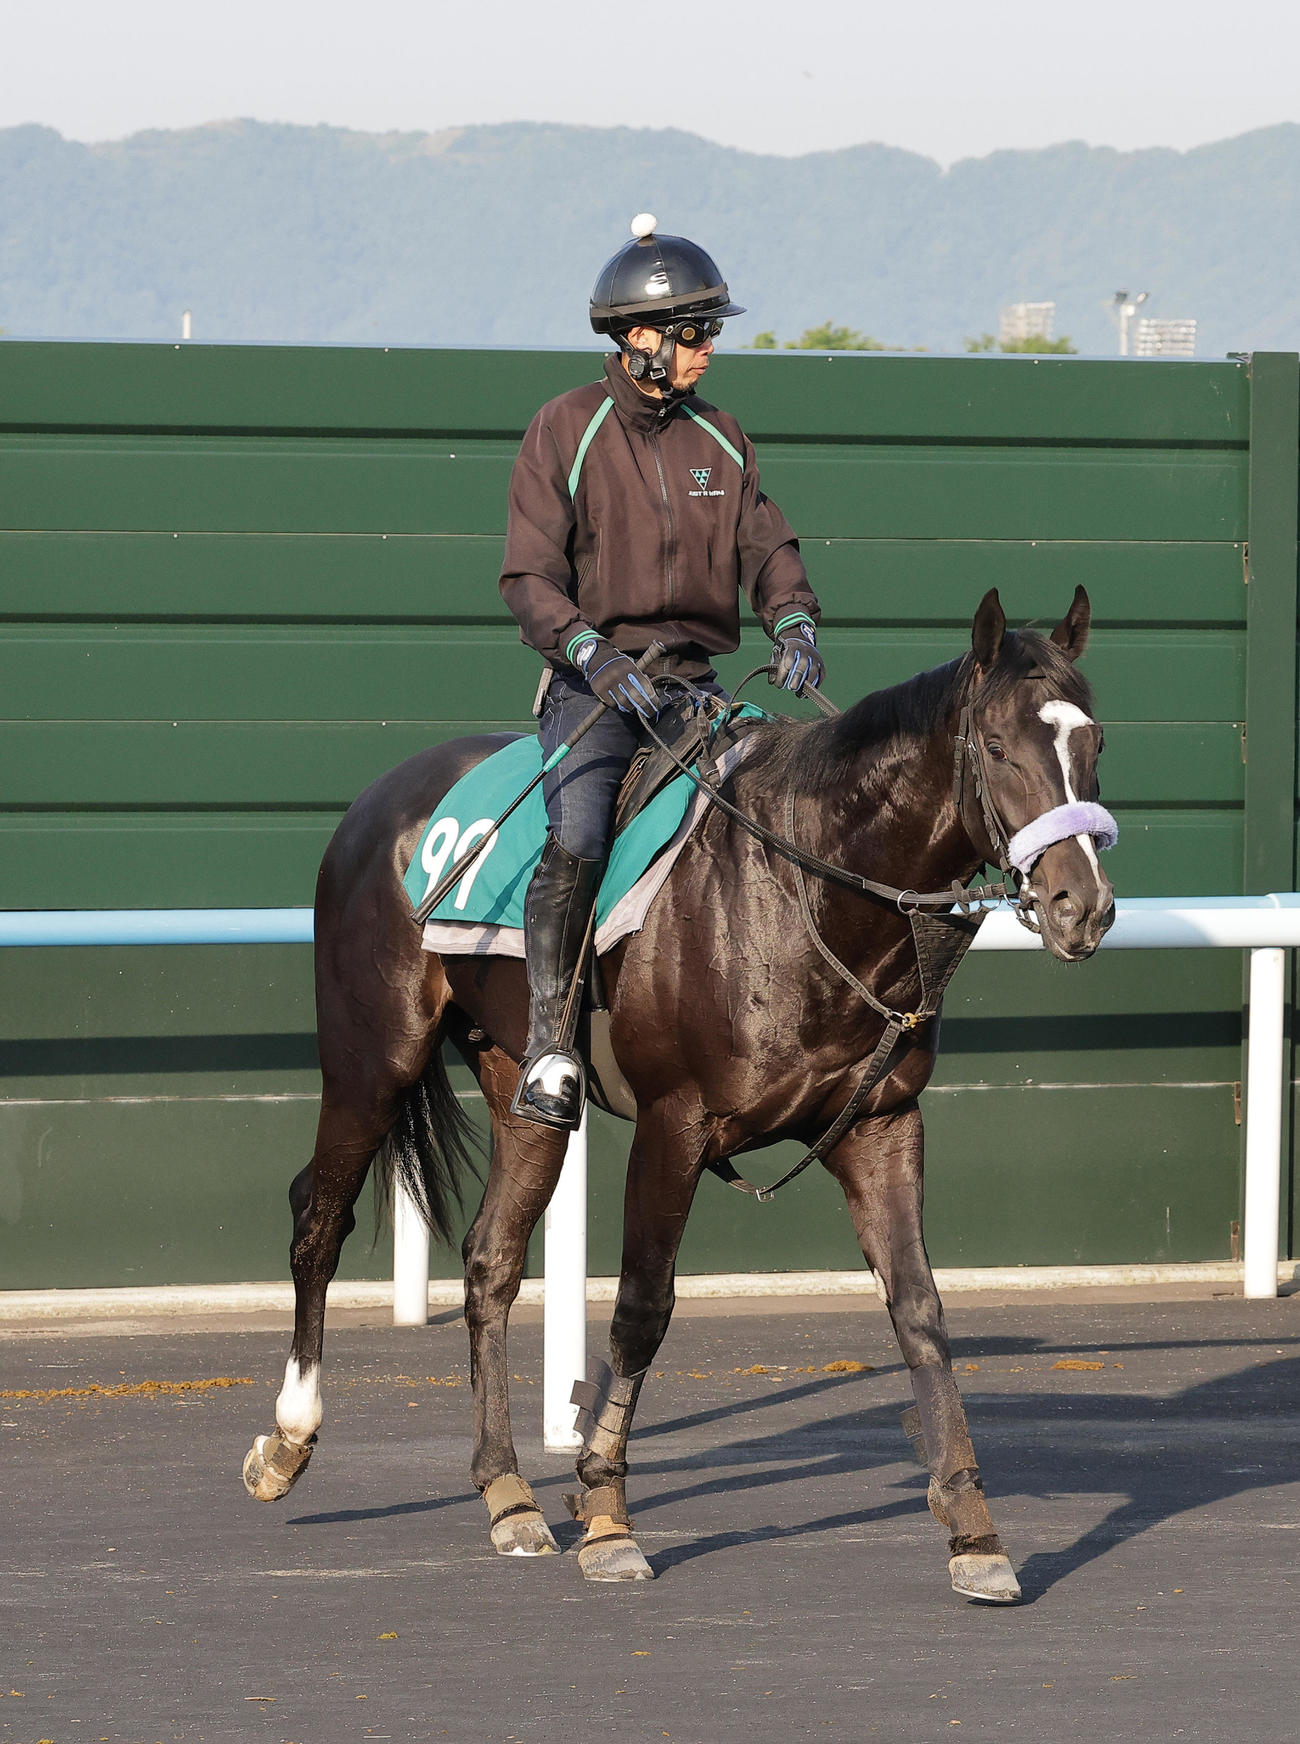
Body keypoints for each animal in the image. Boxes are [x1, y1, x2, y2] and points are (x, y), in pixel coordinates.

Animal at [241, 586, 1115, 1605]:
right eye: (1000, 745)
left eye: (1094, 741)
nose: (1083, 905)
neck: (802, 889)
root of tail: (380, 801)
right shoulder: (676, 1124)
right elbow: (642, 1310)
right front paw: (607, 1512)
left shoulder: (882, 1124)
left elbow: (920, 1311)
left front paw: (974, 1531)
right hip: (371, 1059)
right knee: (319, 1217)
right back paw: (289, 1439)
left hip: (520, 1086)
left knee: (491, 1258)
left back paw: (507, 1494)